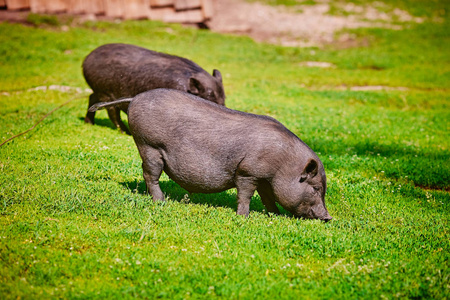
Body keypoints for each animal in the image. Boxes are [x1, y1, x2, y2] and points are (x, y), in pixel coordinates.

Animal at [81, 43, 225, 134]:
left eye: (223, 97)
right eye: (209, 97)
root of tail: (87, 59)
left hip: (98, 91)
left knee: (91, 97)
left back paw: (89, 123)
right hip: (105, 91)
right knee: (112, 112)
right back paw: (126, 133)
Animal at [89, 88, 332, 221]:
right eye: (315, 188)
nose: (328, 217)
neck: (283, 165)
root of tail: (134, 98)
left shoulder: (264, 179)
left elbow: (268, 197)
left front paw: (275, 215)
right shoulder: (247, 172)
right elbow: (245, 195)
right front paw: (243, 217)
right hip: (149, 145)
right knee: (150, 174)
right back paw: (161, 201)